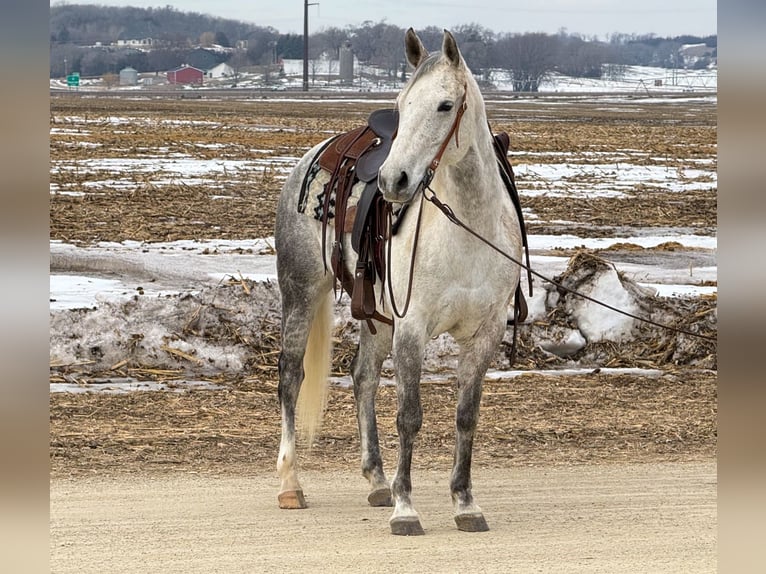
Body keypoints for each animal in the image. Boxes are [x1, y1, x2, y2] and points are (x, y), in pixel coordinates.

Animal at [274, 28, 523, 536]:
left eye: (445, 105)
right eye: (403, 104)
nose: (394, 180)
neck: (468, 226)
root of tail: (312, 157)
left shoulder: (484, 332)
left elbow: (466, 416)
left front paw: (465, 503)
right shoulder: (412, 328)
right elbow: (409, 416)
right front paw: (406, 509)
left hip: (375, 313)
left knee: (363, 376)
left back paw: (376, 479)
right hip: (302, 290)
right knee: (291, 375)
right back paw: (291, 483)